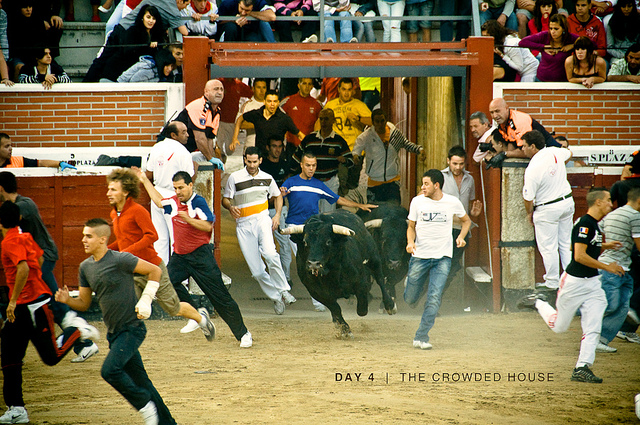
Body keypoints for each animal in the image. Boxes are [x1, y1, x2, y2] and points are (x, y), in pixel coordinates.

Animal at [280, 210, 396, 338]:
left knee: (380, 279)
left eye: (328, 242)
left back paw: (390, 305)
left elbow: (362, 308)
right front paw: (345, 330)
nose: (313, 264)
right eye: (305, 242)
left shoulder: (360, 282)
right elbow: (335, 309)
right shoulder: (316, 293)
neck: (330, 274)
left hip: (374, 258)